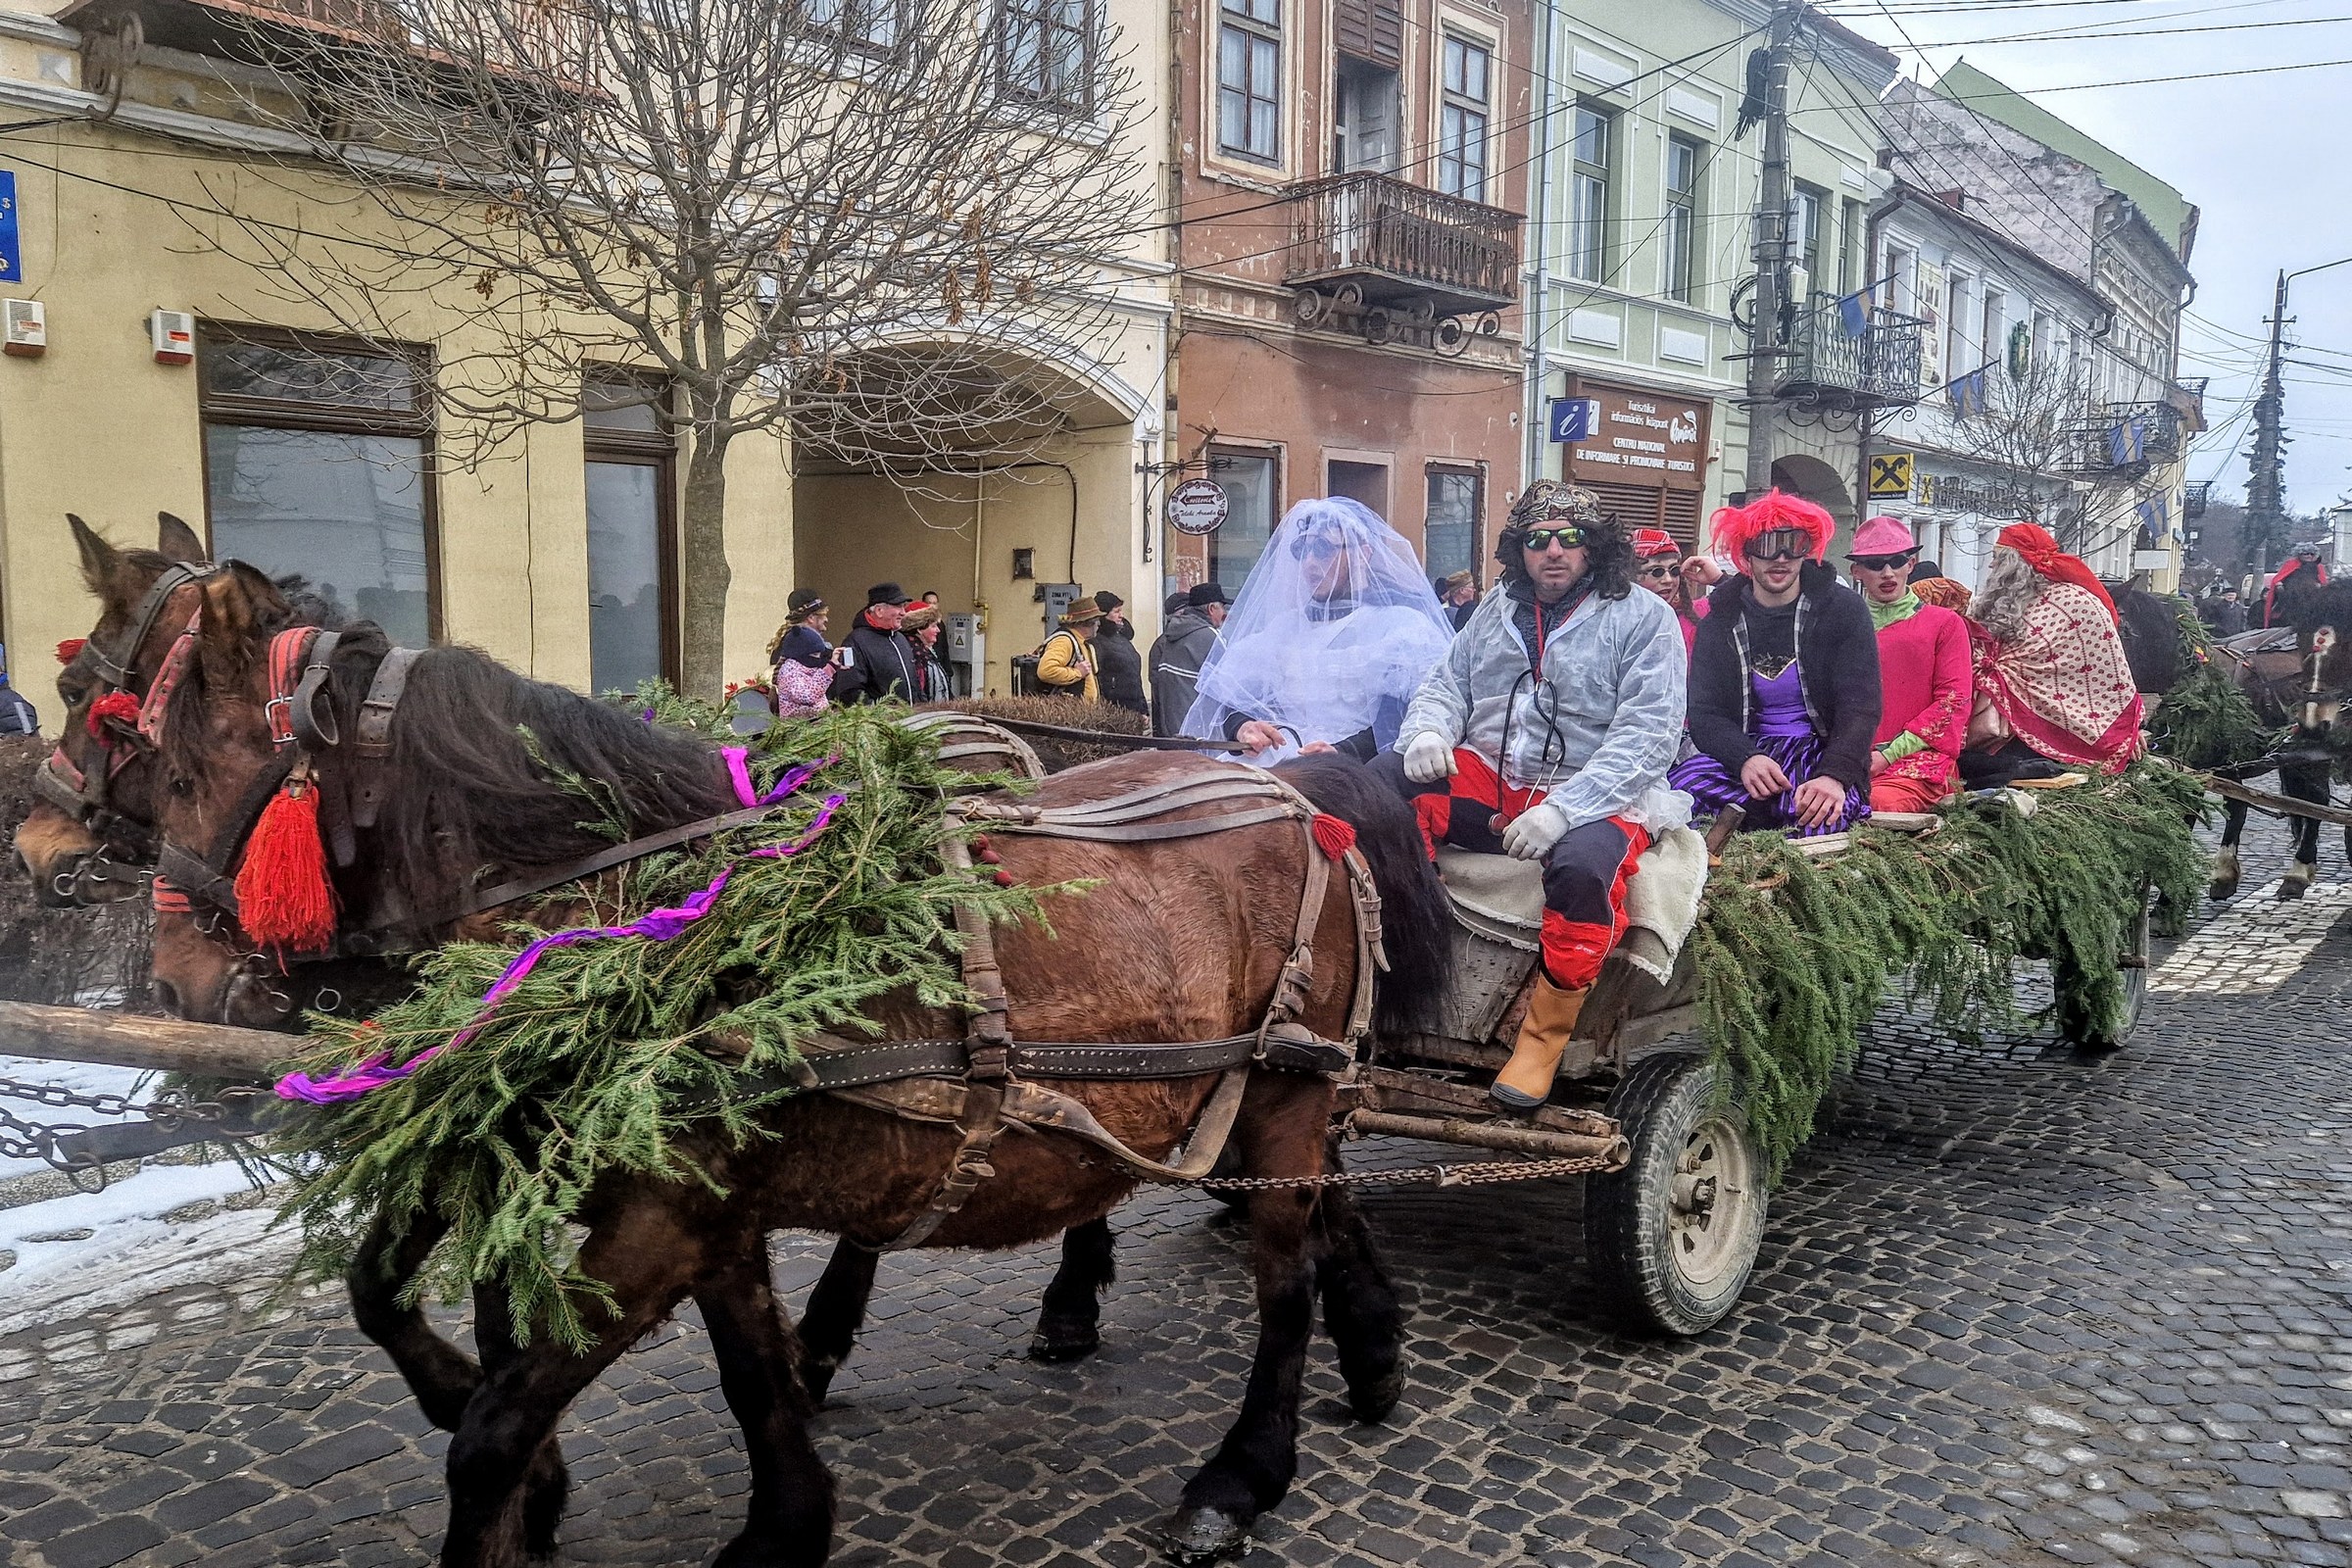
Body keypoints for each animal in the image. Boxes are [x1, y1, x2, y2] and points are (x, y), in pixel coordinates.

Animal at [23, 526, 1448, 1568]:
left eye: (139, 733)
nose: (171, 977)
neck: (622, 919)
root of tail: (1294, 781)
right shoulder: (675, 1202)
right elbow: (708, 1361)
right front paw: (770, 1519)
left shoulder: (656, 1219)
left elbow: (491, 1424)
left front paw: (523, 1482)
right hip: (1216, 1098)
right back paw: (1361, 1345)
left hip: (1280, 1094)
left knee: (1281, 1276)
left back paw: (1242, 1469)